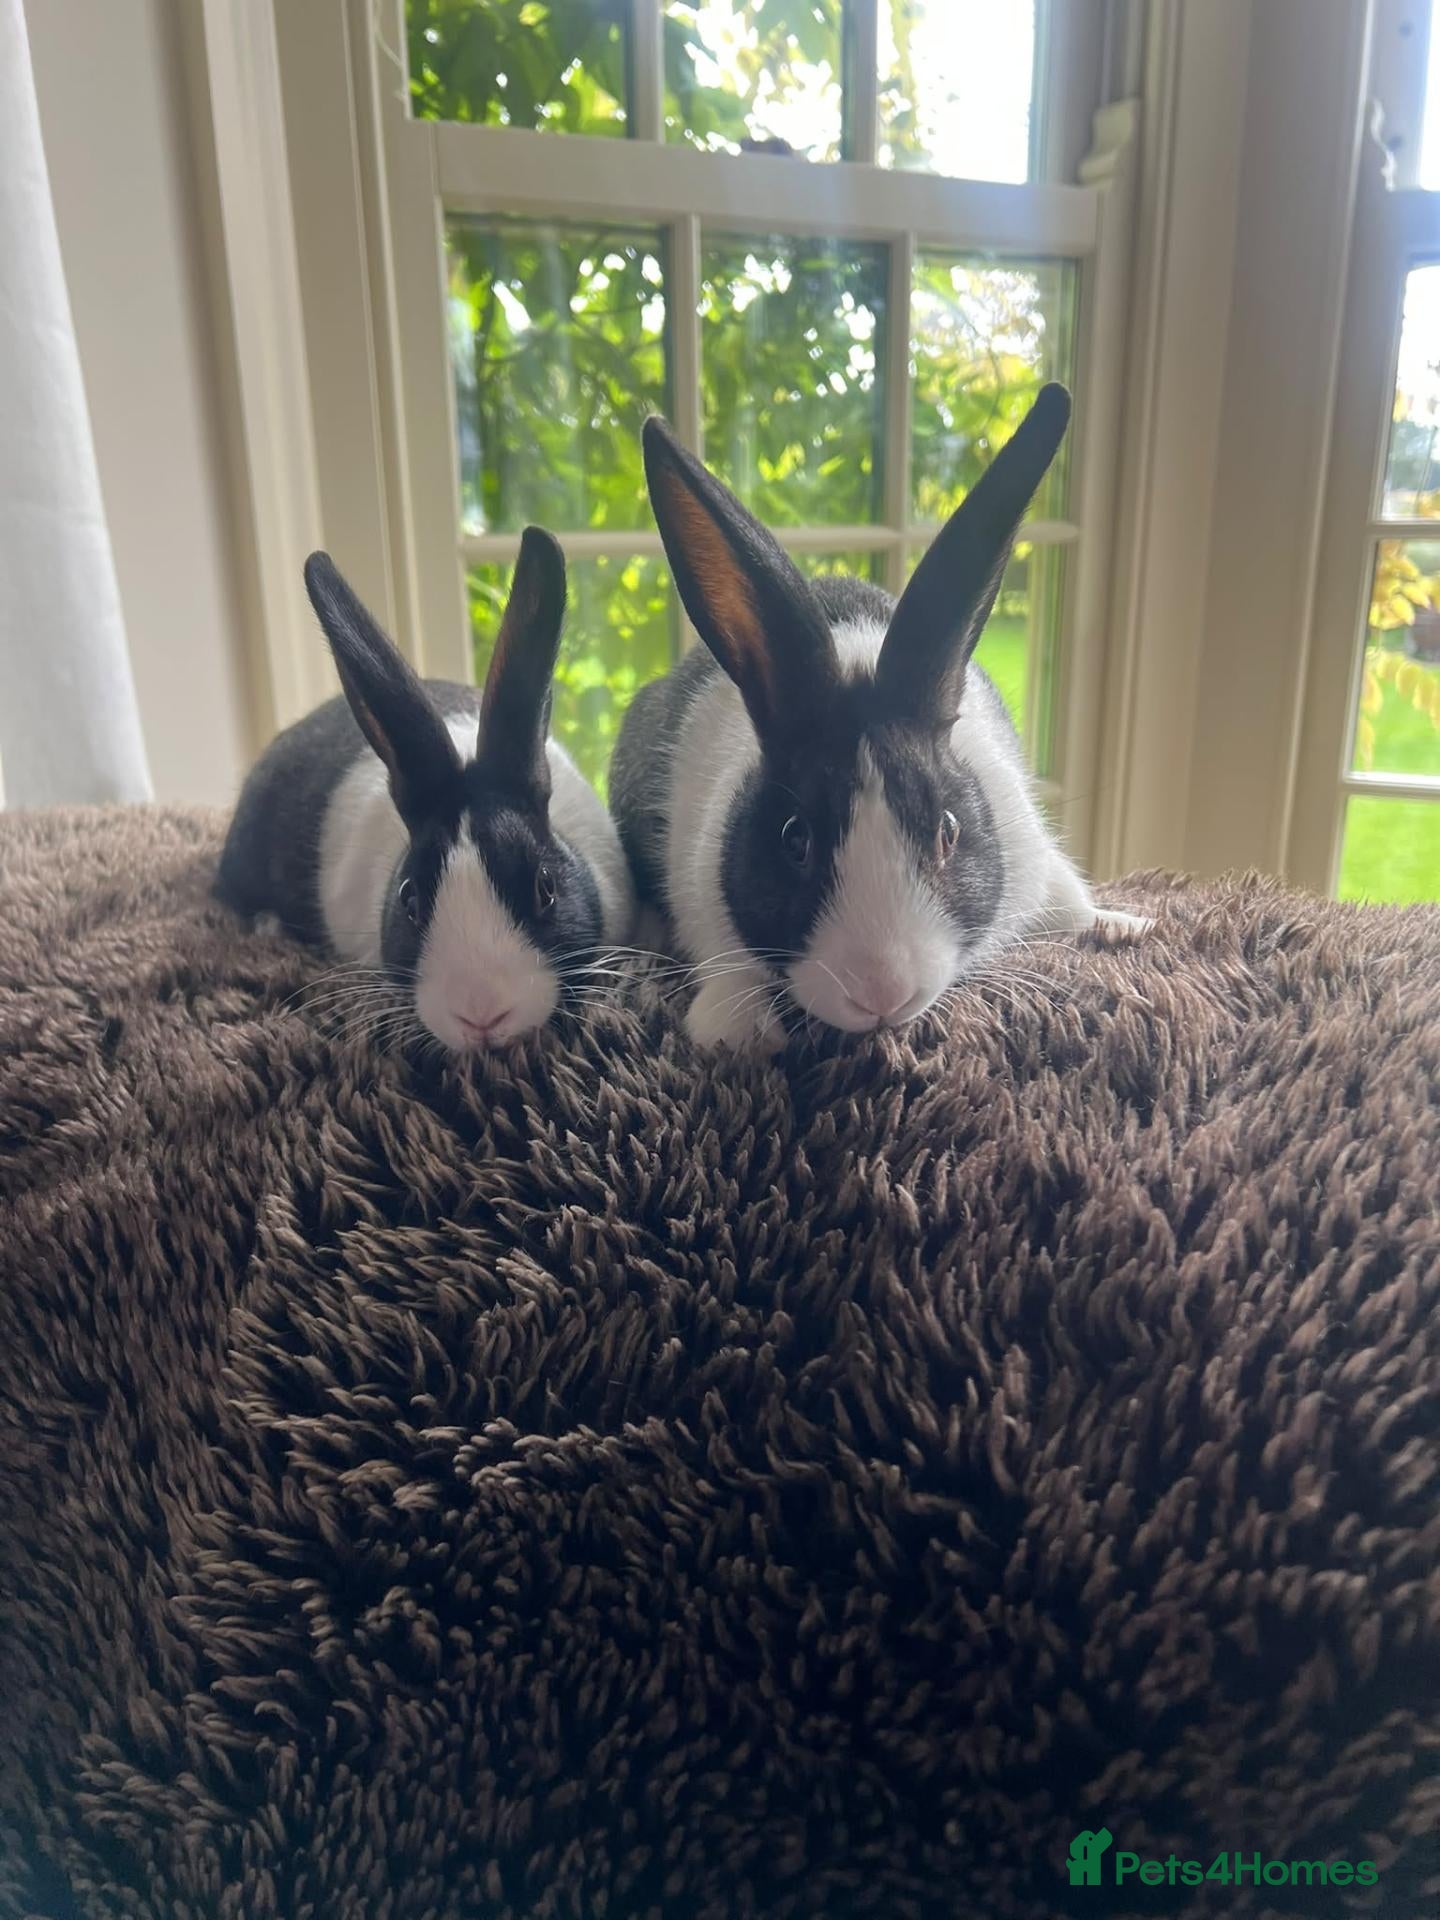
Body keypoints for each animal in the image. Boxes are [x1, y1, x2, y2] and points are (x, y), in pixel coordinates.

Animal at [610, 383, 1146, 1052]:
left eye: (948, 831)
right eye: (794, 840)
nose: (882, 995)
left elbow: (1066, 896)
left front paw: (1120, 926)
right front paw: (738, 1031)